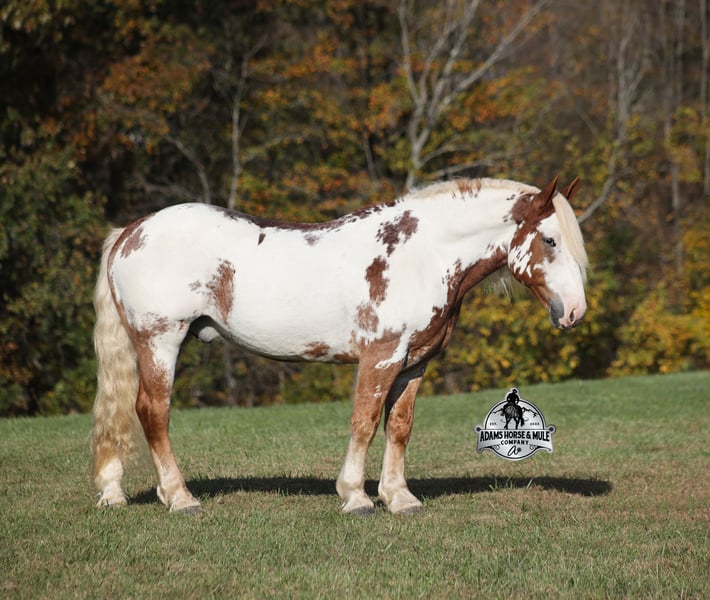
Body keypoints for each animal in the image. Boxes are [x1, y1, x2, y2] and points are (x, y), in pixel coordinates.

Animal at [90, 175, 588, 515]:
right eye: (549, 239)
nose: (575, 312)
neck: (423, 256)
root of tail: (132, 231)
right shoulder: (381, 357)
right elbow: (365, 422)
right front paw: (356, 496)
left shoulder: (414, 364)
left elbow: (399, 427)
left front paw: (399, 497)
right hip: (161, 341)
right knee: (153, 412)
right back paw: (179, 497)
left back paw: (115, 492)